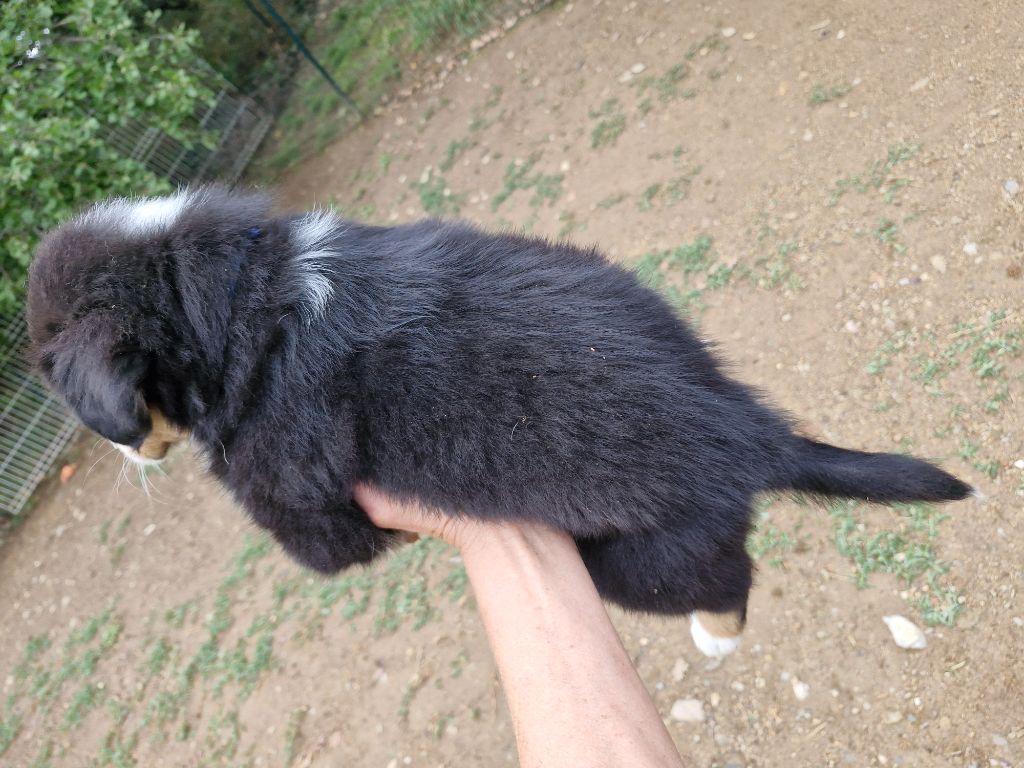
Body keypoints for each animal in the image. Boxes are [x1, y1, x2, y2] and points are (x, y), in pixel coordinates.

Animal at [27, 186, 971, 657]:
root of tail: (745, 425)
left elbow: (331, 543)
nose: (132, 455)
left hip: (638, 560)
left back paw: (715, 637)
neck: (228, 293)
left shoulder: (301, 500)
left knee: (727, 582)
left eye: (65, 390)